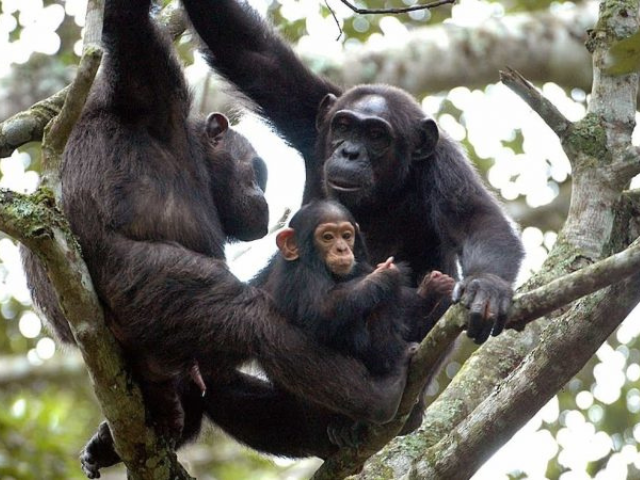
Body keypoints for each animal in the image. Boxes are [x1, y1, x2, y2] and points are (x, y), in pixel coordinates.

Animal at [181, 0, 524, 344]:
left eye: (376, 135)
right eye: (344, 126)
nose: (350, 152)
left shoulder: (442, 162)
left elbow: (476, 218)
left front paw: (488, 286)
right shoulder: (312, 110)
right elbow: (249, 51)